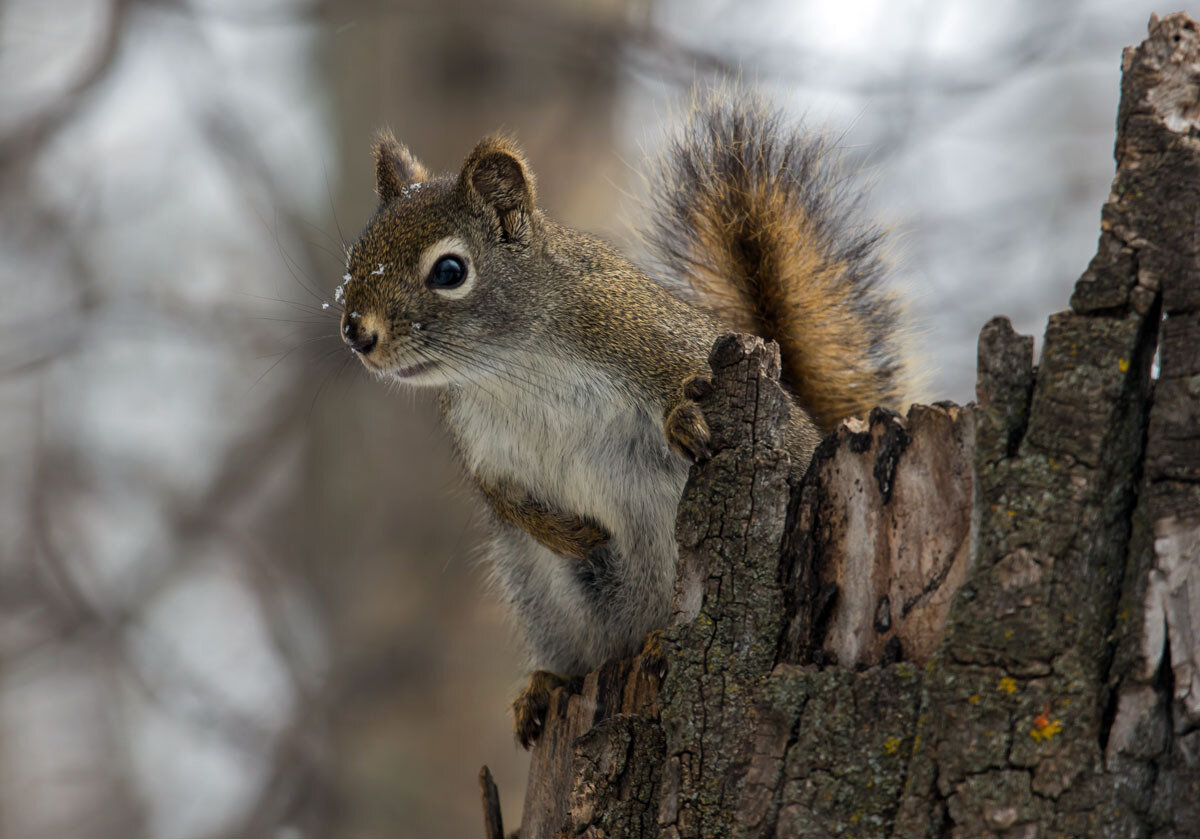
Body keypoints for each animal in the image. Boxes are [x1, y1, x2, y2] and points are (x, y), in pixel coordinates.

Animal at [333, 93, 902, 748]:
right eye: (356, 257)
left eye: (450, 271)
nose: (356, 333)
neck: (511, 368)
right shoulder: (483, 445)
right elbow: (500, 497)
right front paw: (568, 534)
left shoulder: (652, 342)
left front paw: (685, 419)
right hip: (543, 597)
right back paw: (546, 684)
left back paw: (655, 642)